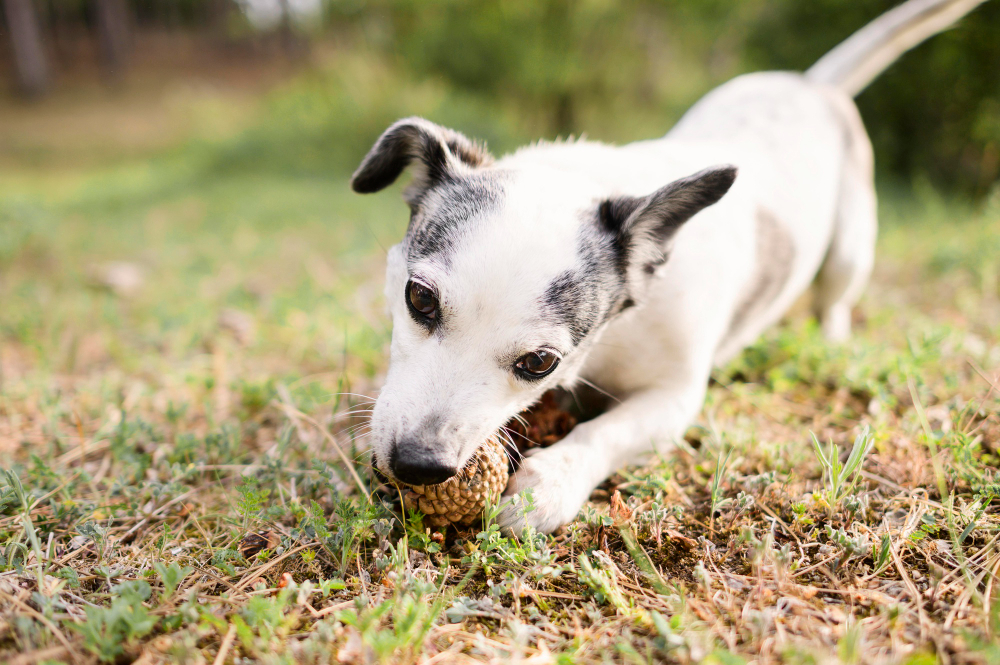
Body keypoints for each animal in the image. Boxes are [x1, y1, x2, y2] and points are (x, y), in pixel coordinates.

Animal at [350, 0, 984, 532]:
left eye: (539, 362)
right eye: (419, 299)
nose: (419, 464)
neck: (614, 337)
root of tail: (814, 85)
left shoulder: (674, 400)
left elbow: (608, 432)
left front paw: (548, 484)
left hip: (851, 251)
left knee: (835, 300)